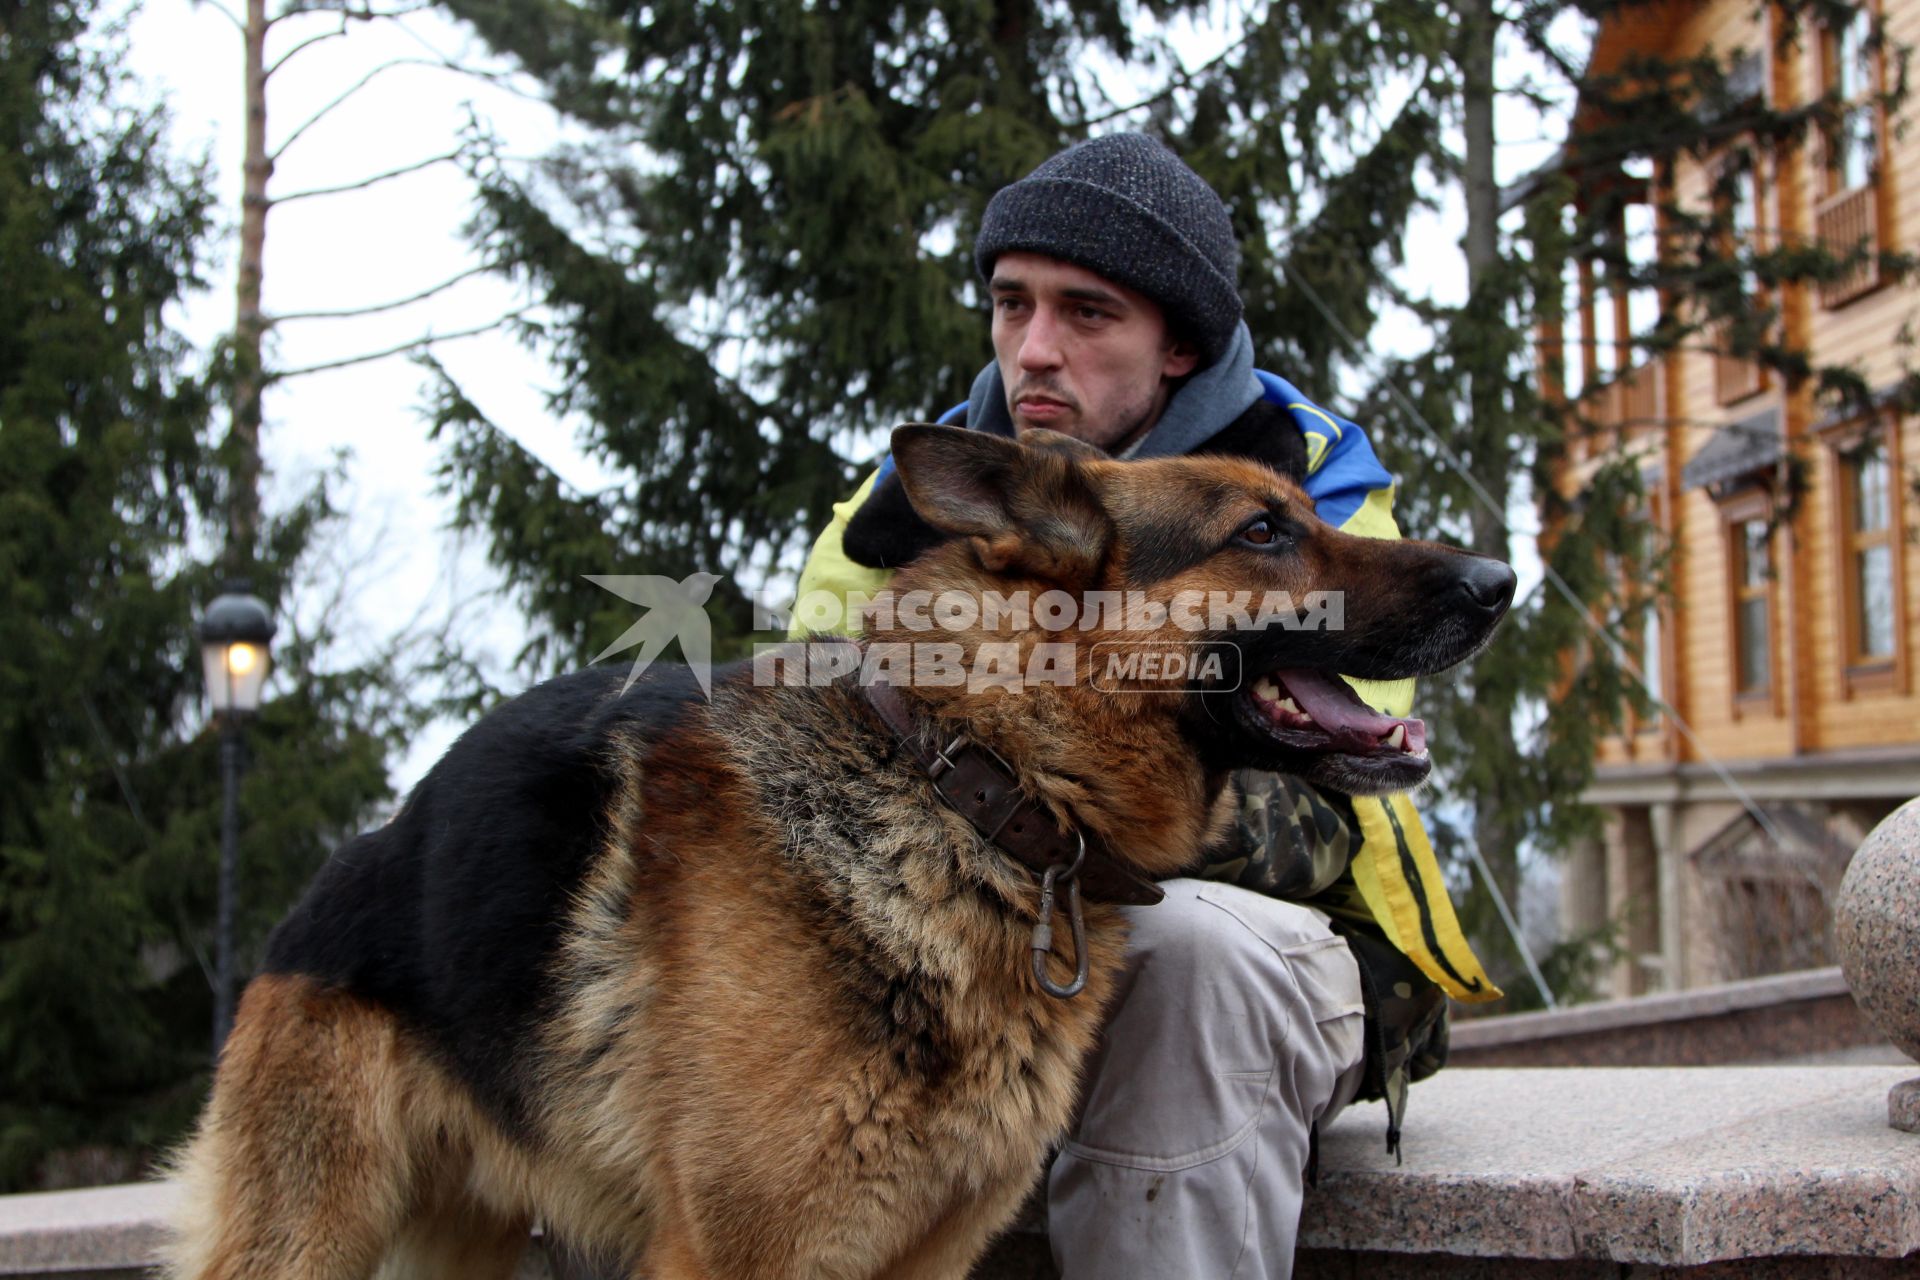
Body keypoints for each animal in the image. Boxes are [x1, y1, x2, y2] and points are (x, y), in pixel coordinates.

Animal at [161, 422, 1512, 1280]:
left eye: (1309, 512)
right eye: (1264, 530)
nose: (1502, 576)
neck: (971, 787)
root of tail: (336, 875)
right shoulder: (738, 1253)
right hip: (310, 1233)